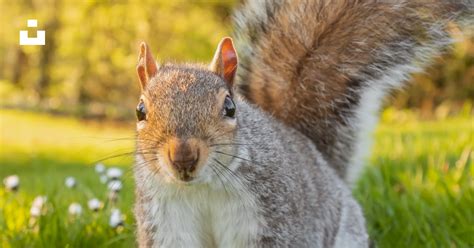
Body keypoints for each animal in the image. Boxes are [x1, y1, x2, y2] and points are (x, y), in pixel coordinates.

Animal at [131, 0, 472, 247]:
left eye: (229, 107)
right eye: (140, 111)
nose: (183, 158)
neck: (203, 187)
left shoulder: (278, 213)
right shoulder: (165, 219)